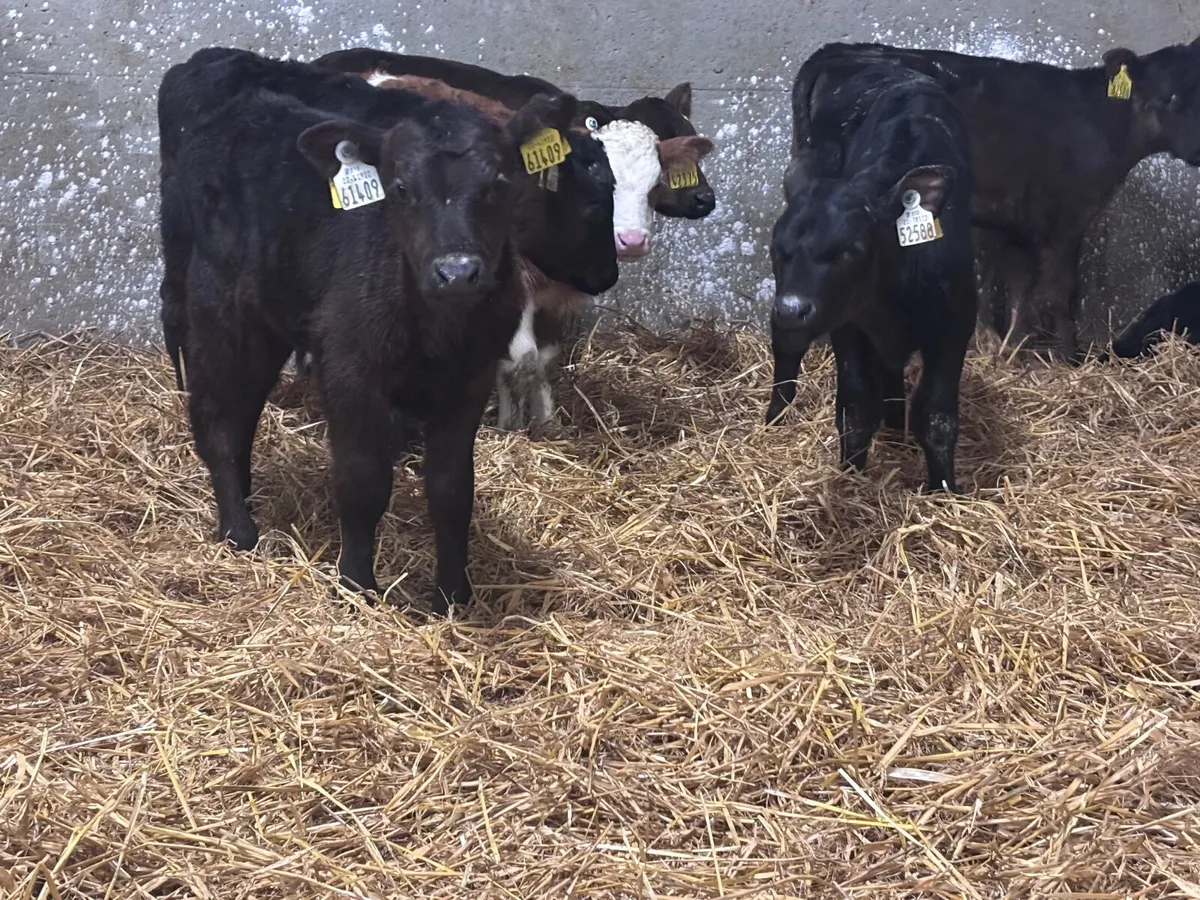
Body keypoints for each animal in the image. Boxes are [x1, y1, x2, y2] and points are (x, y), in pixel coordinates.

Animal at [159, 58, 581, 615]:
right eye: (400, 187)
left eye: (499, 182)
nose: (457, 271)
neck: (437, 330)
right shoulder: (351, 368)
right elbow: (363, 480)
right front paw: (357, 584)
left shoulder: (470, 380)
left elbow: (452, 489)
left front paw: (452, 596)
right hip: (217, 307)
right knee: (216, 415)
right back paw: (238, 531)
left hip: (270, 319)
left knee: (243, 410)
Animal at [766, 62, 977, 495]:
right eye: (777, 247)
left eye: (852, 247)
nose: (792, 308)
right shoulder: (848, 326)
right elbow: (857, 408)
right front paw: (851, 476)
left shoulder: (955, 326)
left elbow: (937, 416)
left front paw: (943, 489)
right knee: (788, 348)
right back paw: (774, 415)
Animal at [789, 38, 1200, 364]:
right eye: (1168, 98)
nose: (1196, 149)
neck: (1100, 124)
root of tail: (840, 51)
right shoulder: (1065, 218)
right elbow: (1060, 291)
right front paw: (1070, 359)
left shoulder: (1018, 222)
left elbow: (1018, 288)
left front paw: (1010, 350)